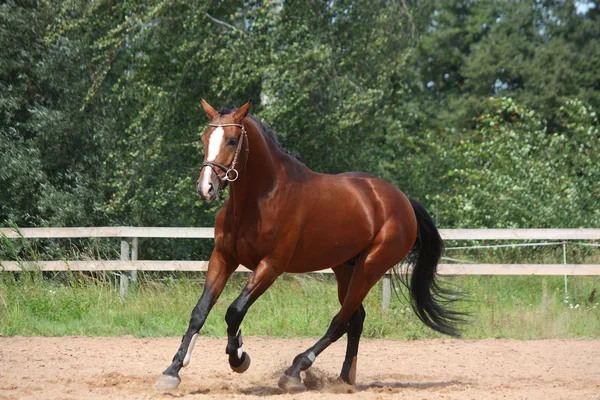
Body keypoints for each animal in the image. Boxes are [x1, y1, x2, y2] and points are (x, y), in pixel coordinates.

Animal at [155, 100, 460, 390]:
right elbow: (199, 312)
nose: (205, 188)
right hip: (345, 268)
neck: (260, 198)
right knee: (356, 319)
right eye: (205, 138)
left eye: (231, 140)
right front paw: (172, 371)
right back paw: (344, 378)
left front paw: (239, 358)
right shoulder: (223, 258)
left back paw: (295, 371)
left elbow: (234, 311)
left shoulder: (270, 266)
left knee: (340, 321)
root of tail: (402, 200)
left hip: (370, 268)